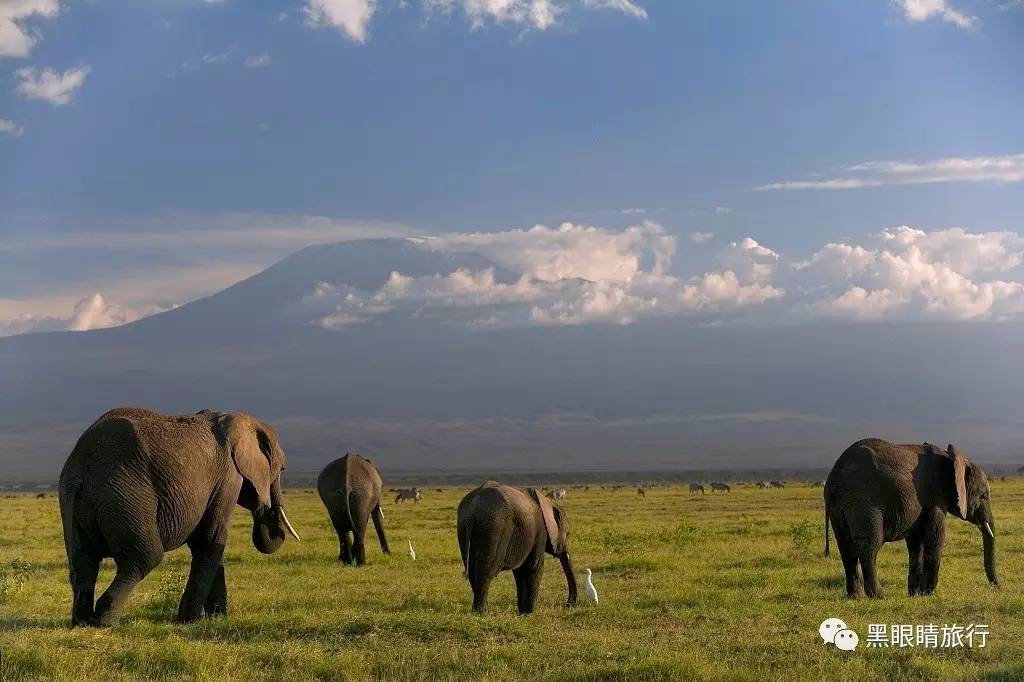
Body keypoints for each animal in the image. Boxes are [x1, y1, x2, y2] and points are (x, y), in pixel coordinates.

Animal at [56, 405, 299, 622]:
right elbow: (210, 539)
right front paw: (190, 620)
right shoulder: (228, 477)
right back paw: (104, 621)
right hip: (124, 495)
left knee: (83, 564)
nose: (265, 507)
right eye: (282, 469)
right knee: (145, 557)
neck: (233, 419)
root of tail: (81, 471)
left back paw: (82, 621)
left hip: (75, 502)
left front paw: (216, 618)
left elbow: (206, 542)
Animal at [456, 481, 577, 614]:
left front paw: (522, 612)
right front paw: (528, 613)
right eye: (568, 534)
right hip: (494, 529)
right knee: (485, 572)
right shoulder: (540, 531)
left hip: (464, 528)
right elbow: (534, 567)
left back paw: (479, 611)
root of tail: (472, 511)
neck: (548, 502)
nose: (567, 605)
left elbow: (519, 572)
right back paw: (482, 613)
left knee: (473, 572)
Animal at [823, 438, 999, 598]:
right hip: (863, 502)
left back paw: (856, 597)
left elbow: (915, 543)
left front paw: (915, 594)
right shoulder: (936, 496)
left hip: (839, 508)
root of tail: (832, 479)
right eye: (984, 496)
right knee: (869, 546)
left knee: (846, 549)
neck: (952, 458)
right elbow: (935, 538)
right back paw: (878, 595)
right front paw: (928, 593)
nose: (997, 586)